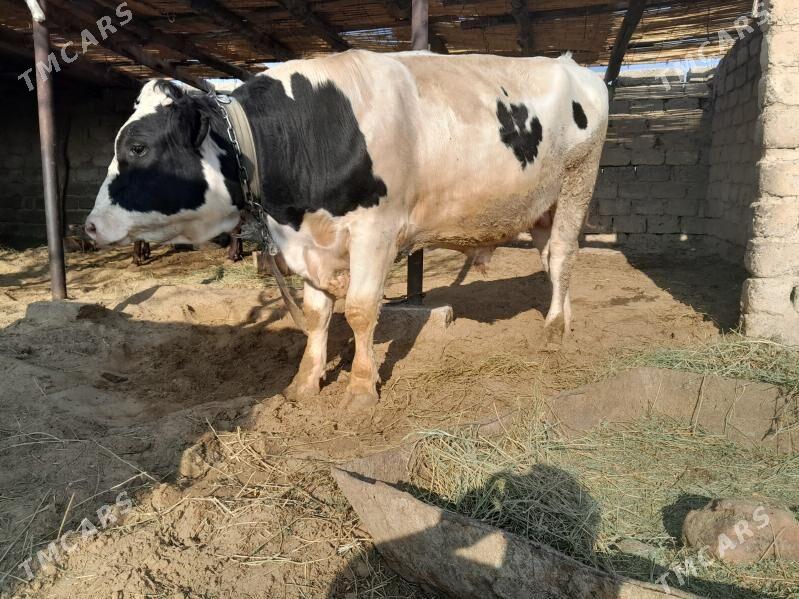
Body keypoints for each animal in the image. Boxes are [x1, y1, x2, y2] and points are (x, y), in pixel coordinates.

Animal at [84, 50, 609, 410]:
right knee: (553, 259)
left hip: (577, 182)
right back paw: (566, 318)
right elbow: (317, 315)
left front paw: (360, 389)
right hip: (541, 206)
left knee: (564, 252)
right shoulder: (307, 242)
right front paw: (305, 382)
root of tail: (575, 66)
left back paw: (553, 329)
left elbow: (358, 310)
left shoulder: (376, 230)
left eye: (137, 146)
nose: (89, 226)